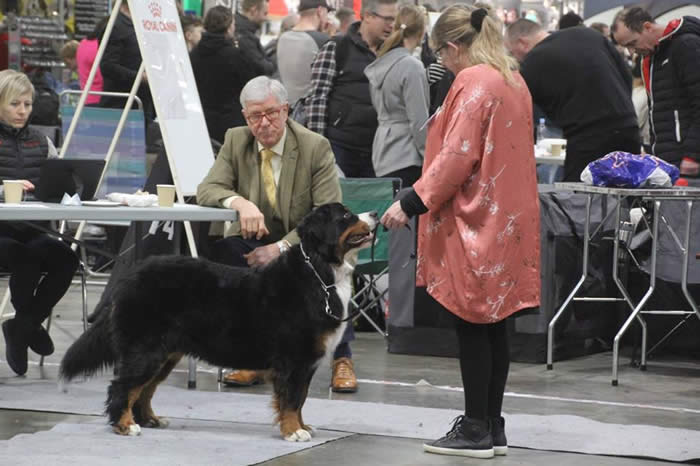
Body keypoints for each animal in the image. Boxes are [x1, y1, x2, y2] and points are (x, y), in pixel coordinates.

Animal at [60, 204, 378, 440]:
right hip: (145, 350)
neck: (320, 273)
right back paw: (125, 425)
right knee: (123, 387)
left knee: (144, 390)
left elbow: (300, 399)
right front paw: (293, 431)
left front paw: (302, 426)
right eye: (346, 216)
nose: (375, 214)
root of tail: (129, 275)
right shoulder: (294, 358)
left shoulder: (306, 361)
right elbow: (291, 399)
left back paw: (151, 419)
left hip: (165, 354)